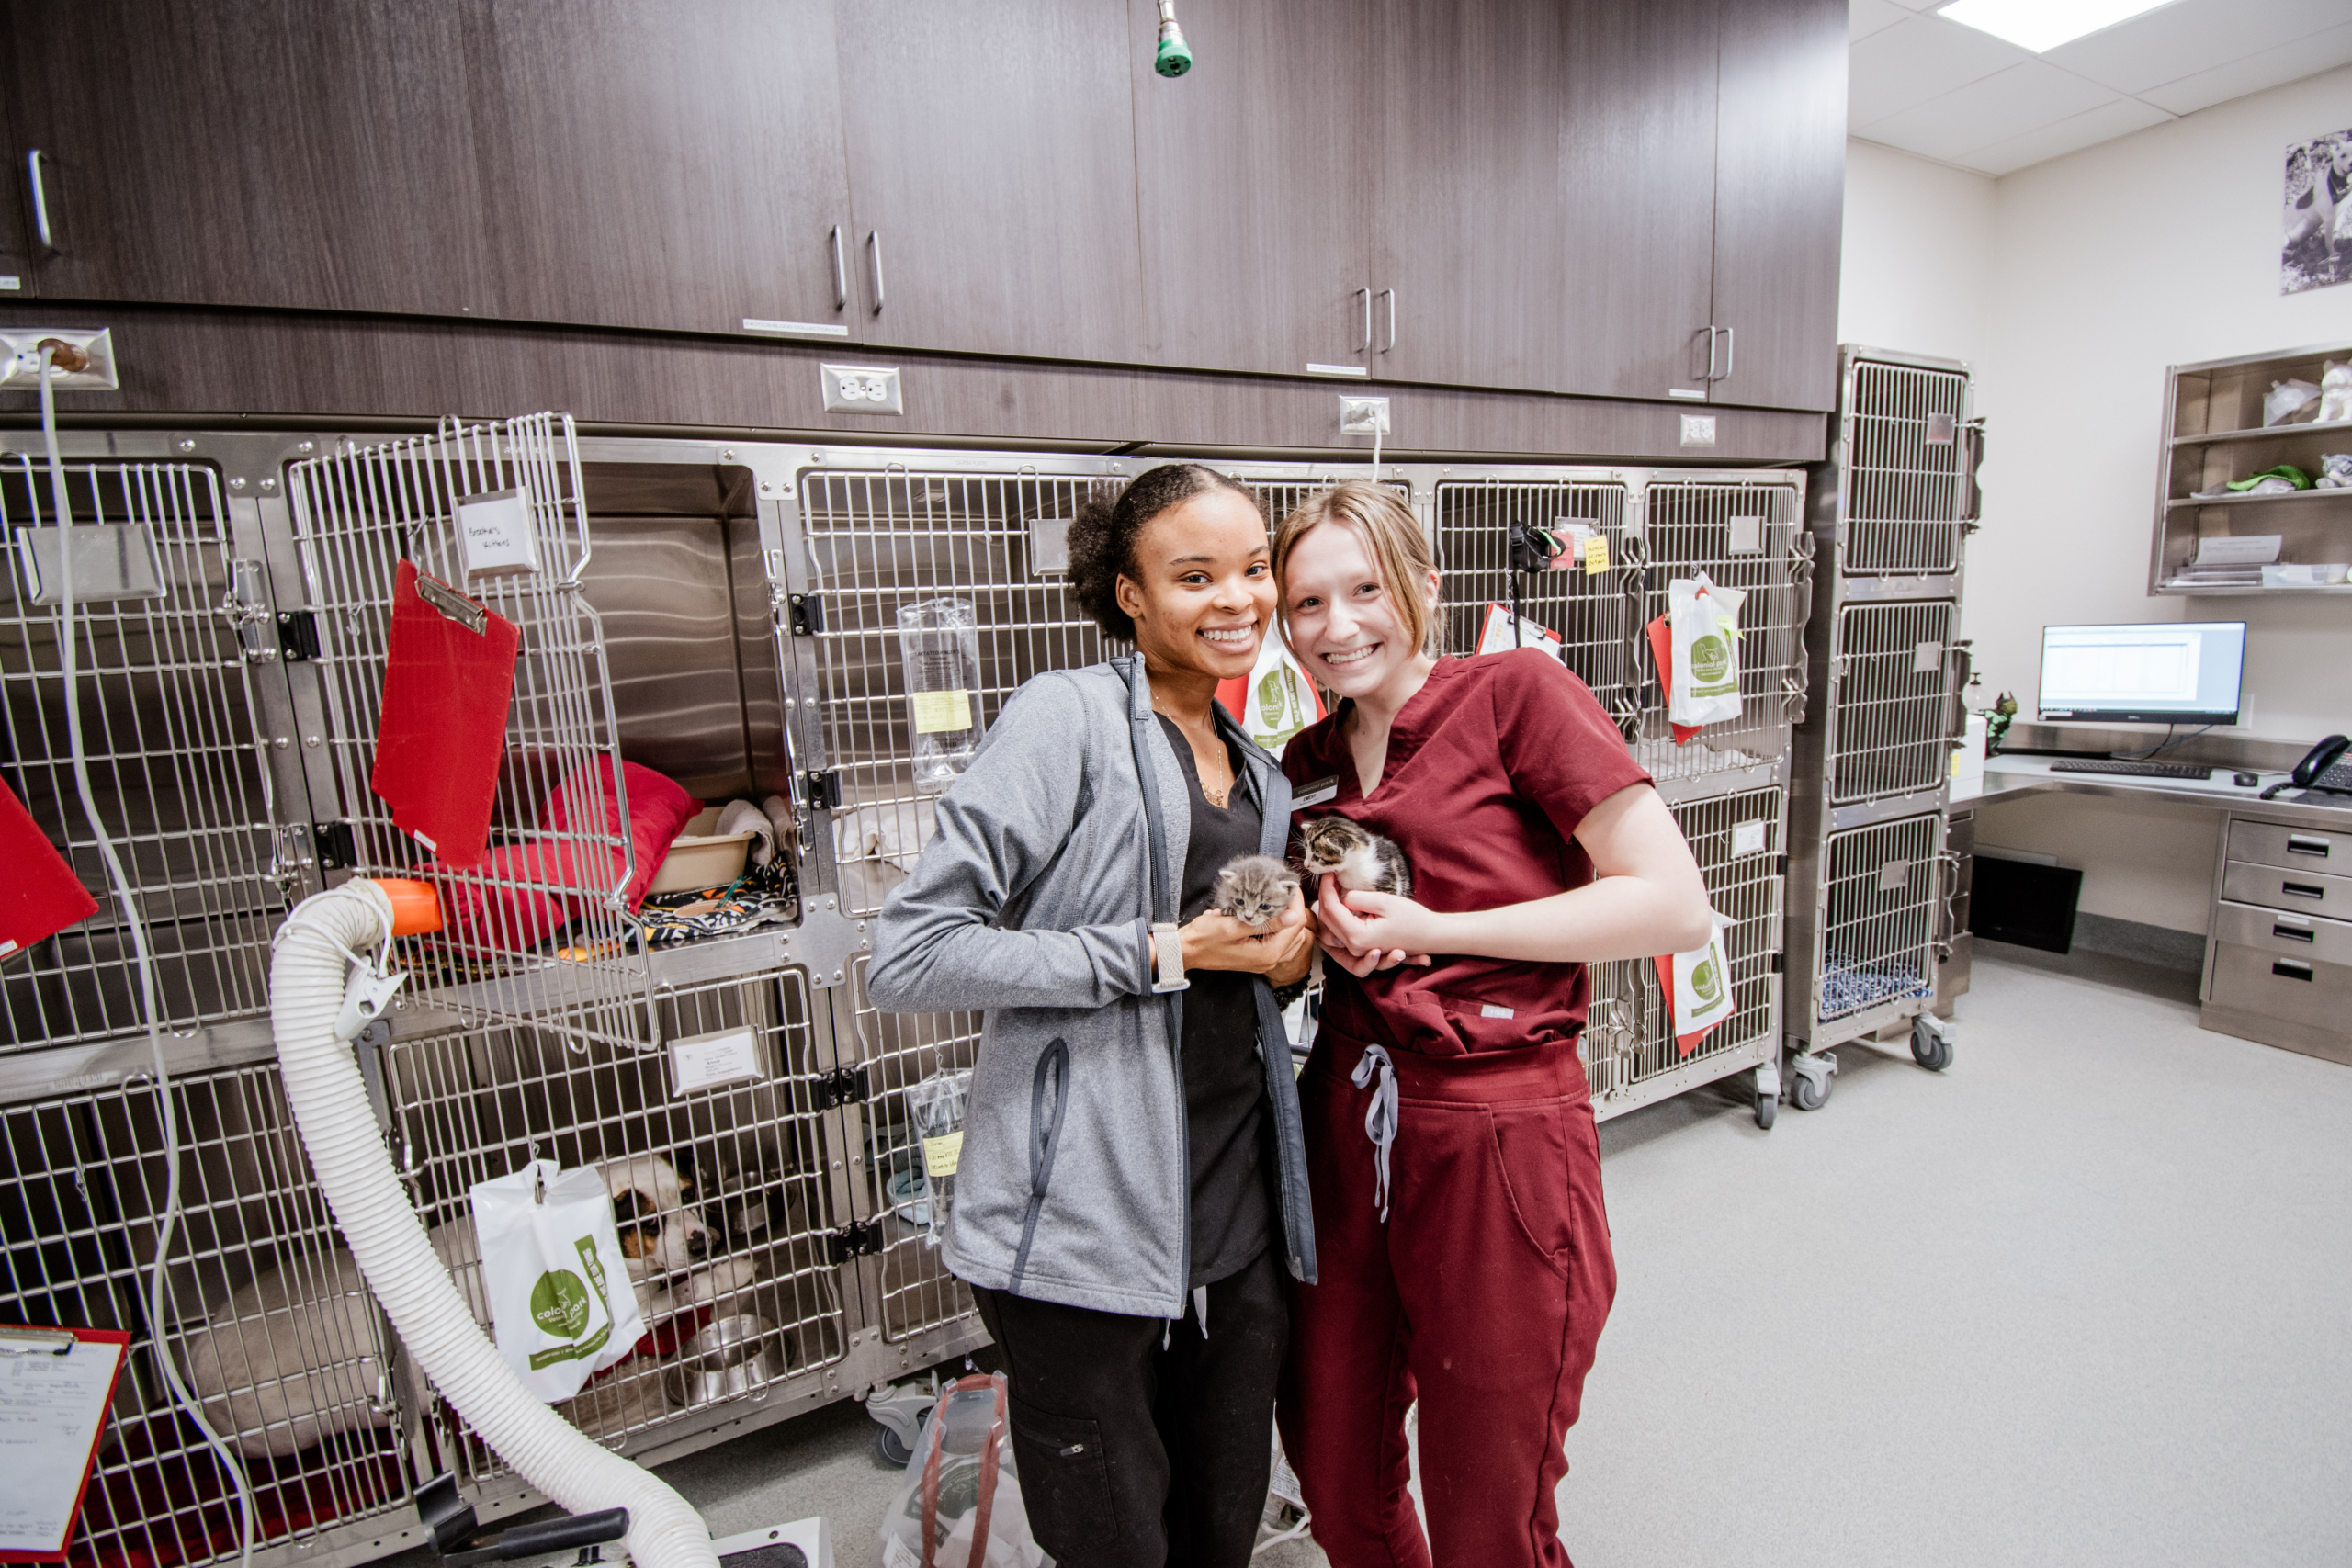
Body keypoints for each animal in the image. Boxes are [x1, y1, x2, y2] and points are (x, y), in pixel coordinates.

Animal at [186, 1152, 808, 1457]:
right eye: (647, 1221)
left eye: (688, 1196)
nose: (704, 1240)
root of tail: (197, 1355)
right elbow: (677, 1293)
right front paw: (726, 1271)